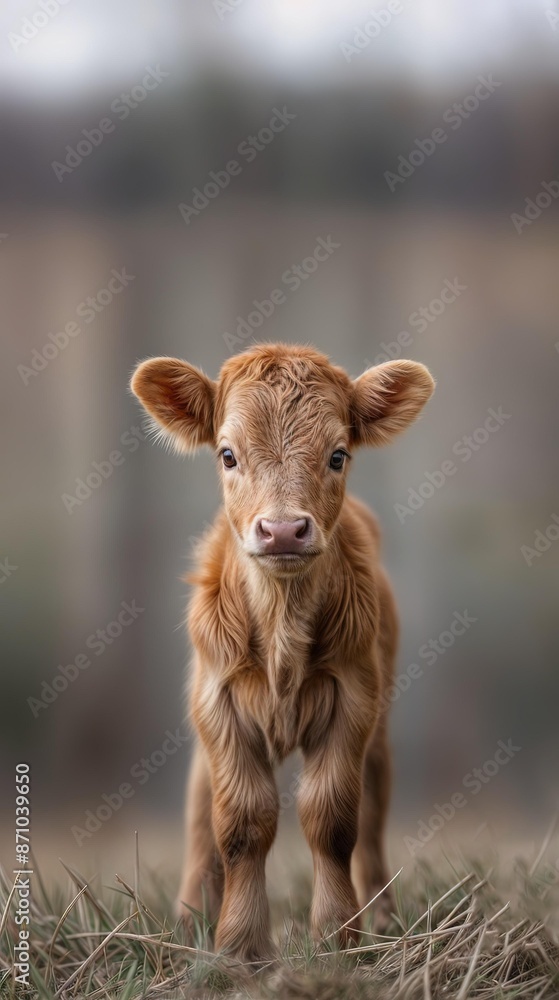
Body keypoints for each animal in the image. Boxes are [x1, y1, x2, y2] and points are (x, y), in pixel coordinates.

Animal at [130, 342, 435, 962]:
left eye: (338, 455)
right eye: (227, 454)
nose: (284, 530)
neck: (281, 638)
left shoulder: (355, 700)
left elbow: (333, 819)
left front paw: (339, 936)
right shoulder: (218, 702)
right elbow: (241, 822)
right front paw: (240, 944)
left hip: (381, 731)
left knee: (372, 819)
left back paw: (384, 917)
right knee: (201, 814)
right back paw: (189, 918)